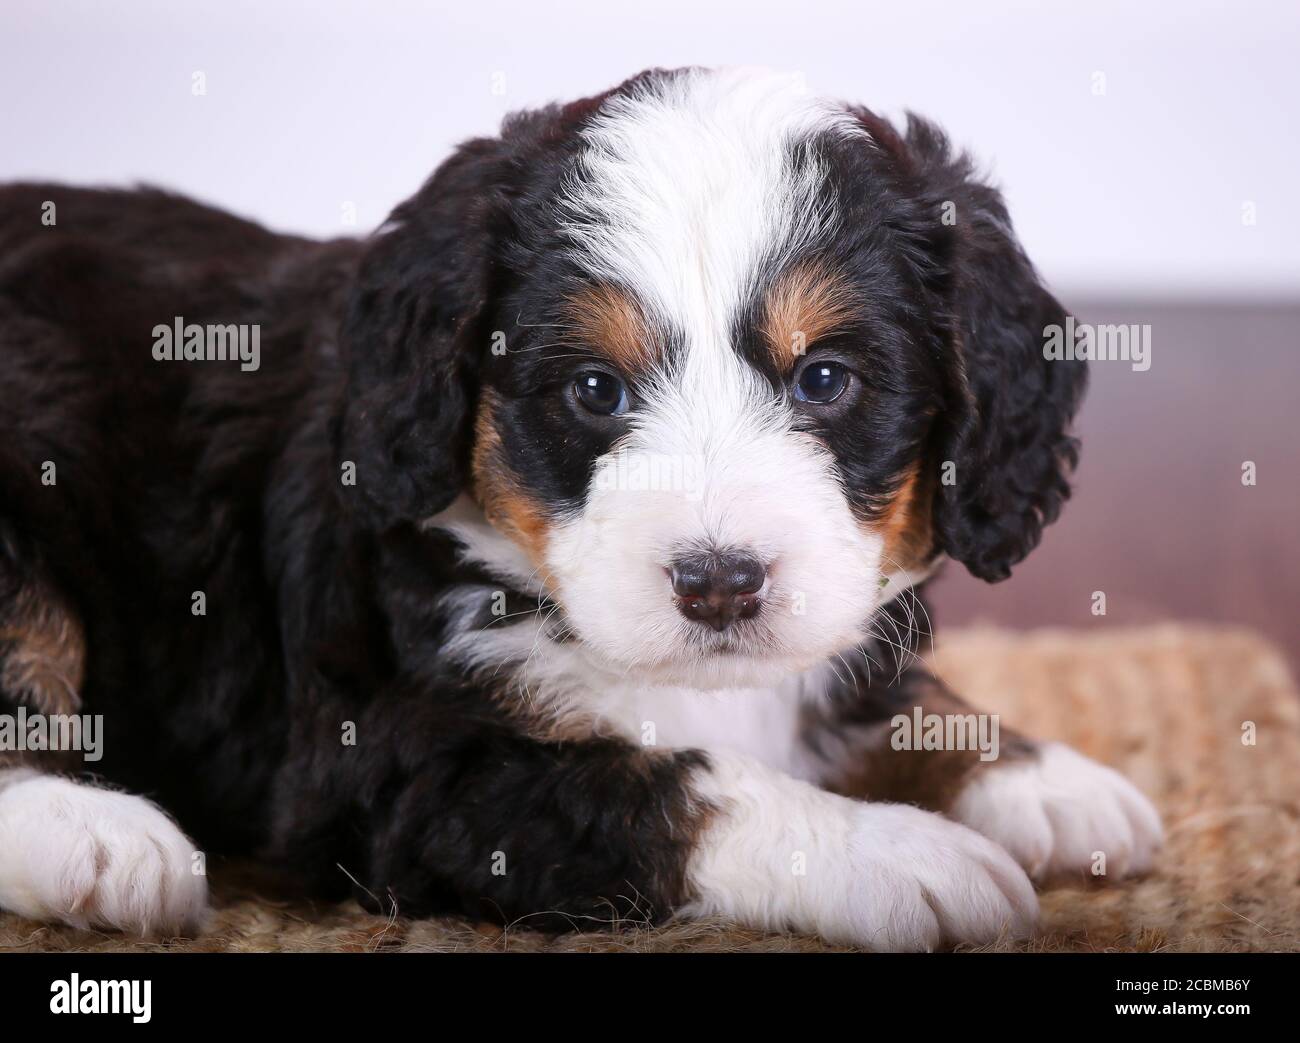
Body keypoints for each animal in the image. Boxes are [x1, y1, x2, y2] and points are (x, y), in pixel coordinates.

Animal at [0, 65, 1159, 941]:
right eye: (595, 391)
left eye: (824, 379)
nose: (719, 584)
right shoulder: (406, 761)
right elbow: (677, 787)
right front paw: (898, 852)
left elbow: (888, 702)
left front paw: (1039, 779)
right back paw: (96, 832)